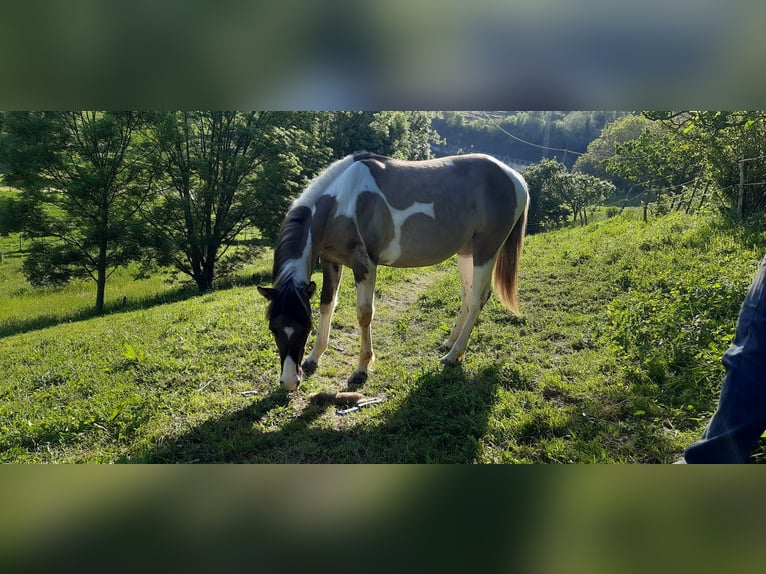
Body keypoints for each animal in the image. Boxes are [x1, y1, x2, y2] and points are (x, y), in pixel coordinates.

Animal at [258, 152, 529, 391]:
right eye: (274, 328)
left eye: (305, 328)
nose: (289, 381)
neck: (342, 200)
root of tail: (515, 177)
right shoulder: (330, 261)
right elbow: (327, 305)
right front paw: (314, 358)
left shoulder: (365, 264)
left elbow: (364, 314)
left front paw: (361, 369)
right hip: (466, 252)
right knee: (468, 295)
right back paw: (449, 344)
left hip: (486, 251)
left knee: (478, 299)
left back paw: (454, 355)